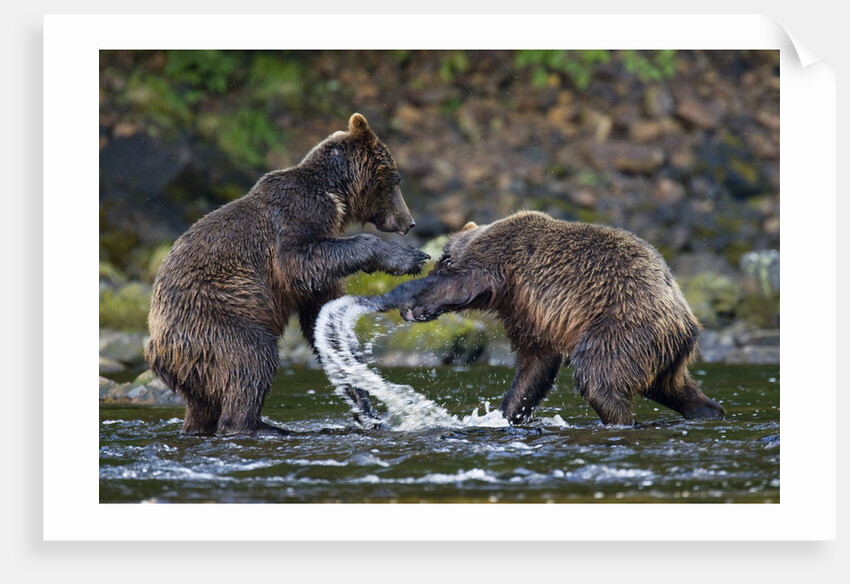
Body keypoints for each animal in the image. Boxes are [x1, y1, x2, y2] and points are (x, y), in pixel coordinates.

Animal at [145, 113, 430, 436]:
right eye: (396, 181)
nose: (409, 221)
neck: (335, 197)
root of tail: (158, 352)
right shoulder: (298, 216)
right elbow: (297, 262)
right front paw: (408, 257)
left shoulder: (317, 279)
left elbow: (320, 317)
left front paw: (365, 406)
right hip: (214, 320)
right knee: (251, 358)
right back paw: (259, 425)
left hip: (196, 366)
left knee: (204, 403)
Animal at [371, 210, 725, 426]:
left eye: (443, 260)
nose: (434, 264)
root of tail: (688, 323)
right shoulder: (527, 316)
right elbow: (535, 367)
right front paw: (507, 412)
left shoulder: (505, 264)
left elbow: (466, 283)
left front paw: (411, 301)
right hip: (657, 354)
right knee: (672, 387)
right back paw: (708, 410)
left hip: (622, 327)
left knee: (599, 377)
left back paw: (618, 418)